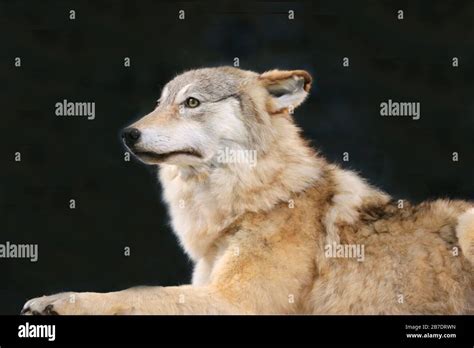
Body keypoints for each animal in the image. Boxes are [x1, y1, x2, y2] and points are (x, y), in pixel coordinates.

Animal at [23, 66, 474, 314]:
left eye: (191, 103)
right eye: (160, 103)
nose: (127, 134)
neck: (258, 199)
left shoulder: (235, 302)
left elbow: (138, 295)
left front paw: (59, 302)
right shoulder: (208, 286)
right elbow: (146, 293)